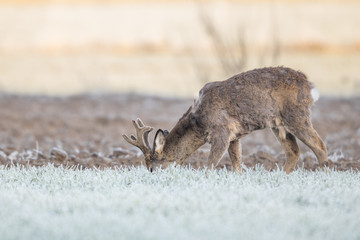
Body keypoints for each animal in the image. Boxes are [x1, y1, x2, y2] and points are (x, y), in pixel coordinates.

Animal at [122, 66, 328, 173]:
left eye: (151, 168)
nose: (151, 177)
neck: (199, 122)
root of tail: (310, 86)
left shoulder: (221, 132)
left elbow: (209, 166)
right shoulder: (234, 136)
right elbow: (237, 165)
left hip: (297, 116)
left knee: (320, 146)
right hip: (278, 125)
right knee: (294, 152)